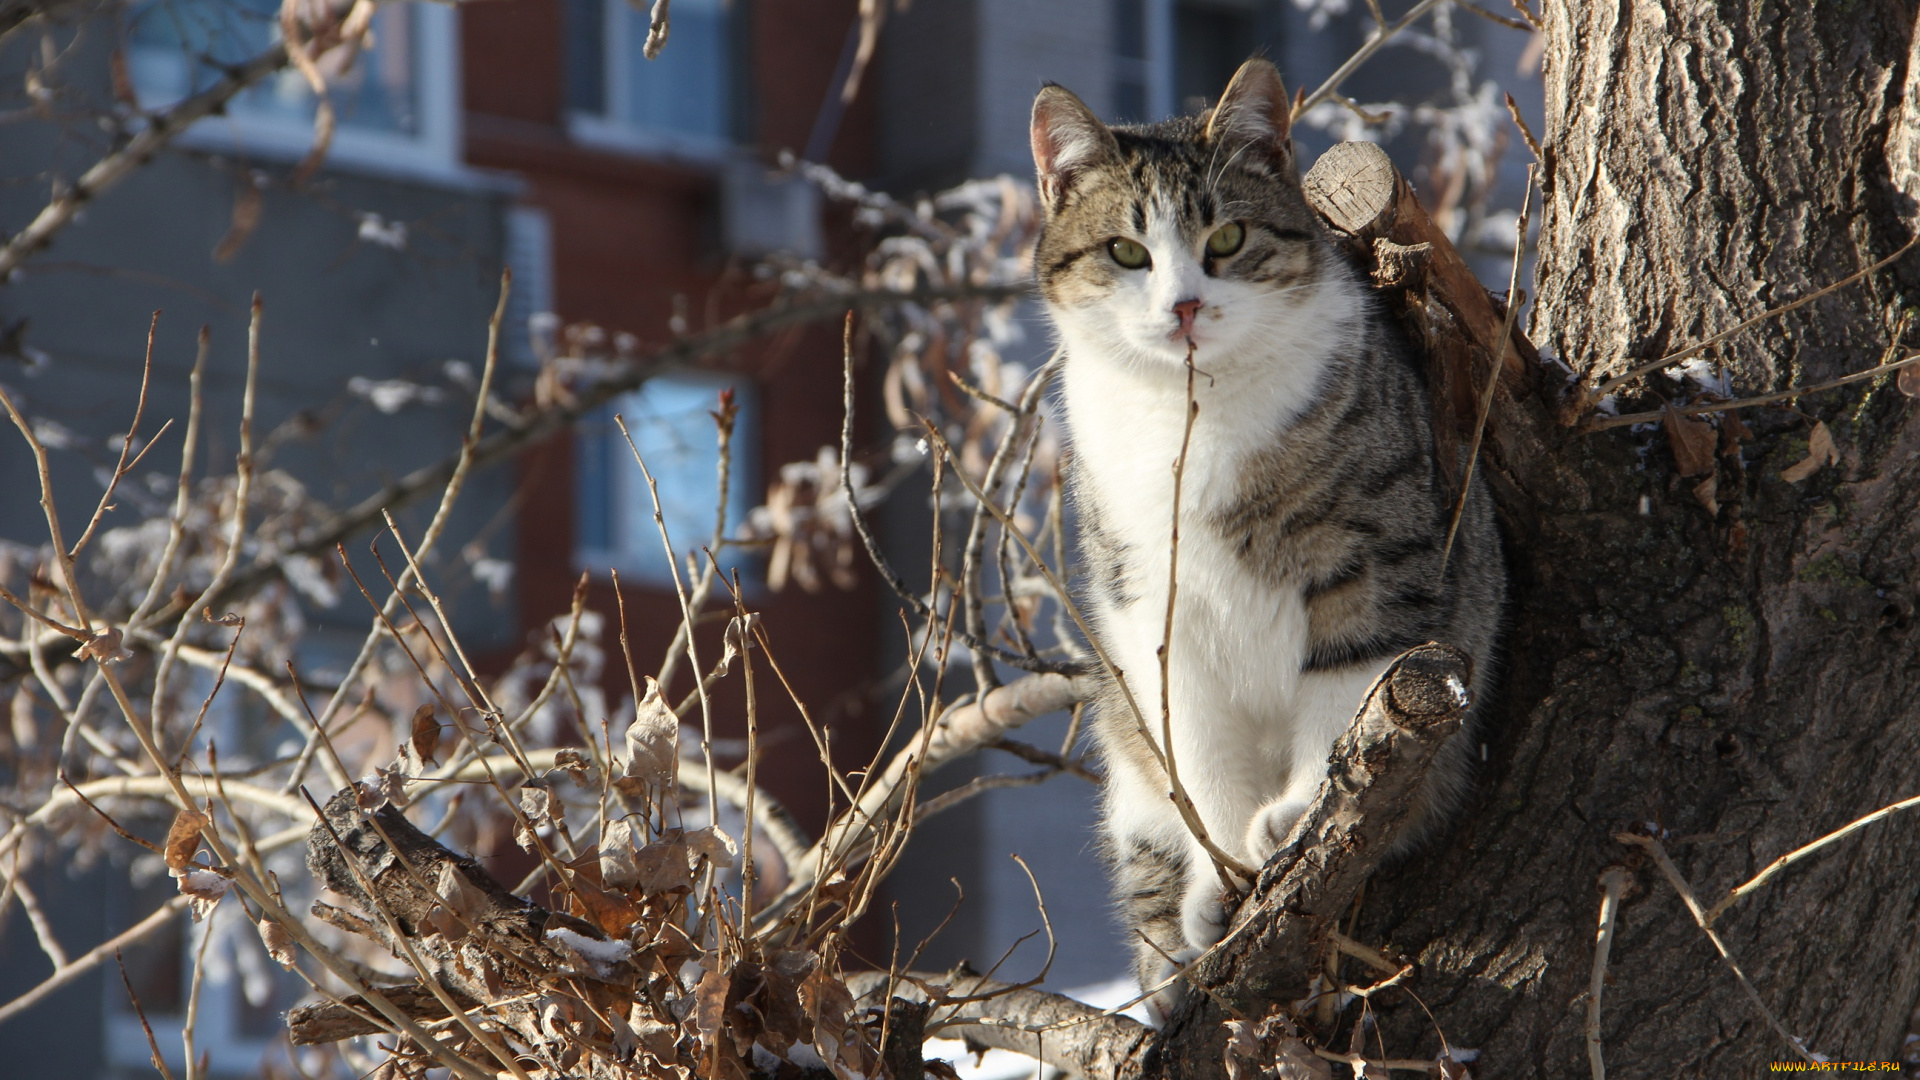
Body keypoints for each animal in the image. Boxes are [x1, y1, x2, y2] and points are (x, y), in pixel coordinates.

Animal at [1029, 58, 1505, 1006]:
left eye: (1228, 238)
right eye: (1126, 252)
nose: (1183, 307)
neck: (1192, 418)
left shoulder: (1376, 552)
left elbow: (1352, 679)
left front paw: (1301, 809)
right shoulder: (1150, 607)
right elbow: (1197, 741)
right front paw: (1219, 877)